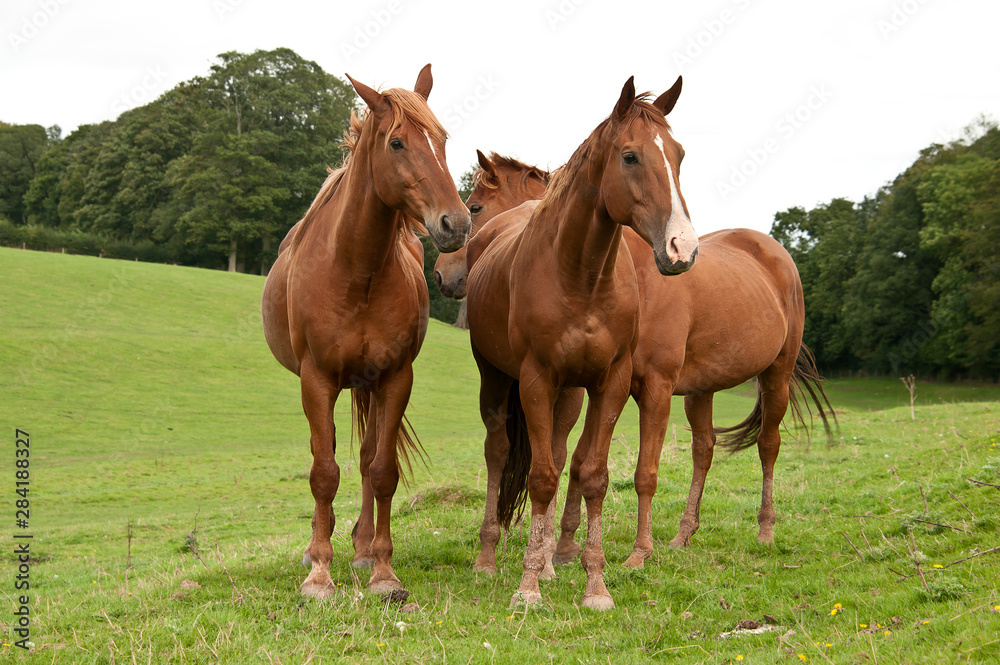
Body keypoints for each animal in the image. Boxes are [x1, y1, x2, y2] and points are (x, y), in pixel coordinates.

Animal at [264, 66, 470, 596]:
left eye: (442, 139)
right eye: (396, 142)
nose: (456, 223)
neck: (355, 271)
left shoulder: (395, 378)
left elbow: (381, 471)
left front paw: (382, 570)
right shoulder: (316, 380)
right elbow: (322, 472)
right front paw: (318, 572)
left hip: (370, 386)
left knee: (365, 458)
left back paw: (358, 548)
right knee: (329, 455)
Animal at [466, 75, 696, 608]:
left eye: (678, 154)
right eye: (630, 156)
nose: (683, 247)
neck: (582, 276)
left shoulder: (609, 381)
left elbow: (591, 475)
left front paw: (594, 584)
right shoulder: (535, 379)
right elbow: (542, 478)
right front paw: (528, 588)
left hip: (567, 393)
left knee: (554, 447)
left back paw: (550, 563)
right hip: (496, 379)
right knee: (498, 452)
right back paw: (488, 560)